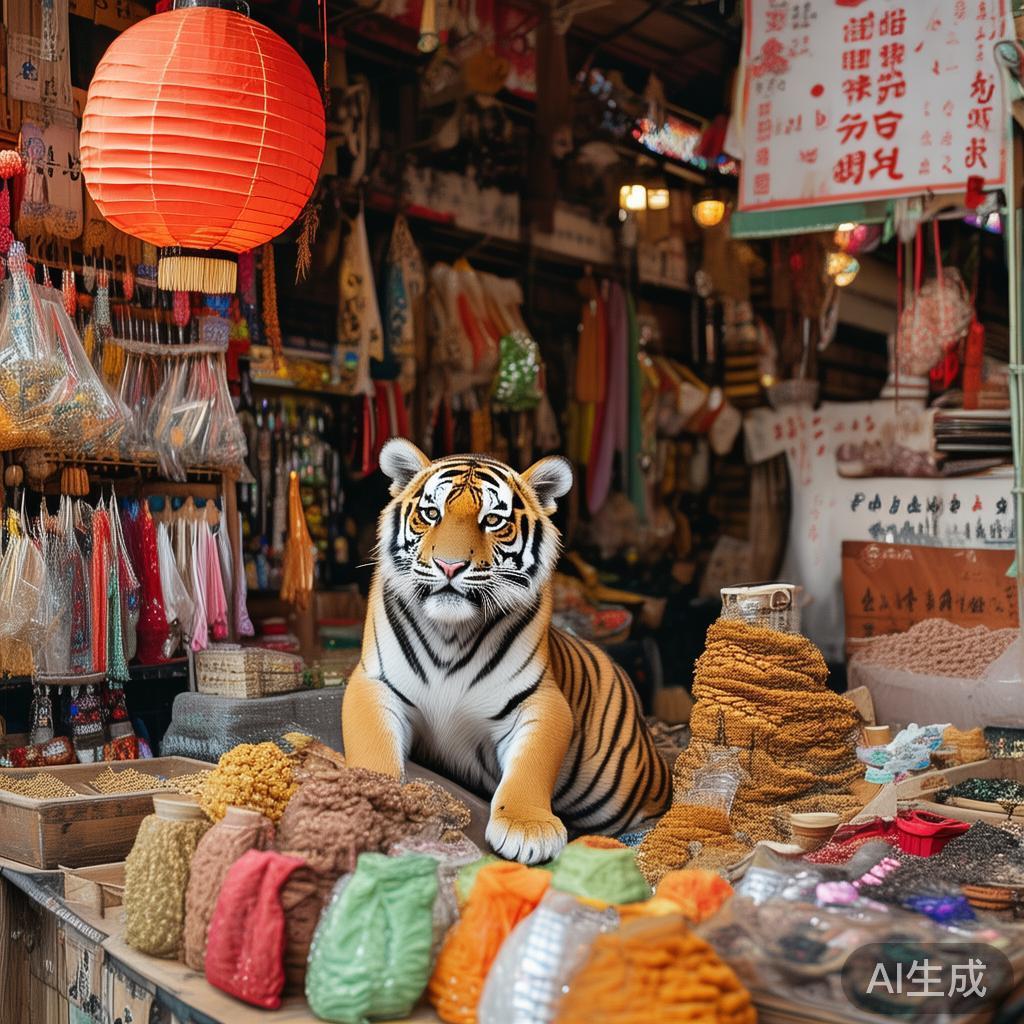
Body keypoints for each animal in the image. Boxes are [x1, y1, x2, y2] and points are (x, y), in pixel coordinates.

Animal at [341, 438, 671, 864]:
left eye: (493, 521)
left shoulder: (540, 701)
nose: (449, 565)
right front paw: (370, 800)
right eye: (431, 514)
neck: (450, 633)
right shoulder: (374, 684)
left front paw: (527, 828)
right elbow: (373, 753)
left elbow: (530, 767)